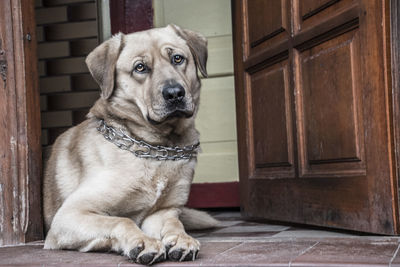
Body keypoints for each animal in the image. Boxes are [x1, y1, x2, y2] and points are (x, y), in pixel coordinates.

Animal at [43, 24, 219, 266]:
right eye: (140, 67)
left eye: (177, 58)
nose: (175, 93)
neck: (154, 148)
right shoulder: (70, 214)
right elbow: (120, 220)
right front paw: (142, 241)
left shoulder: (163, 212)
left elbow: (174, 223)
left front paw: (181, 239)